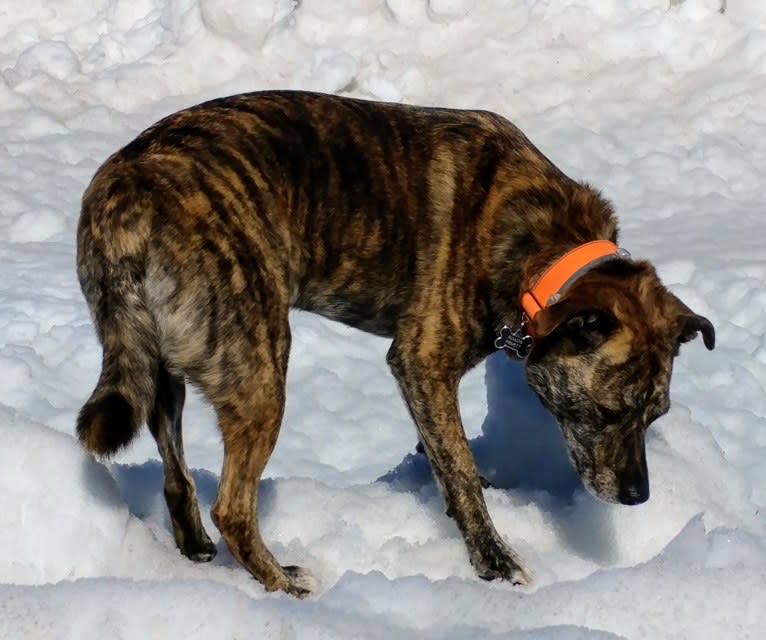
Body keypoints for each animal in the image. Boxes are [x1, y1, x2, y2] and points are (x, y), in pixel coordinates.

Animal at [75, 90, 716, 596]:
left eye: (656, 416)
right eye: (606, 412)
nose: (638, 497)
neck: (544, 249)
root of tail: (124, 200)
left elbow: (446, 455)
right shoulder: (422, 362)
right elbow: (459, 467)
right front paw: (496, 562)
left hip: (160, 362)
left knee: (176, 474)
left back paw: (198, 549)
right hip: (257, 363)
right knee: (232, 505)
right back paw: (284, 583)